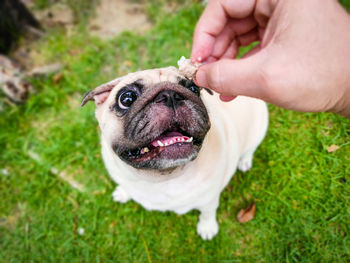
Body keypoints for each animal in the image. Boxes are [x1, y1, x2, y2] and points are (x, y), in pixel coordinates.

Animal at [82, 65, 268, 240]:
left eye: (193, 88)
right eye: (126, 99)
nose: (170, 95)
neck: (157, 179)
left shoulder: (209, 200)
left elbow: (207, 213)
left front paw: (207, 228)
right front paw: (123, 192)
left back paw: (244, 161)